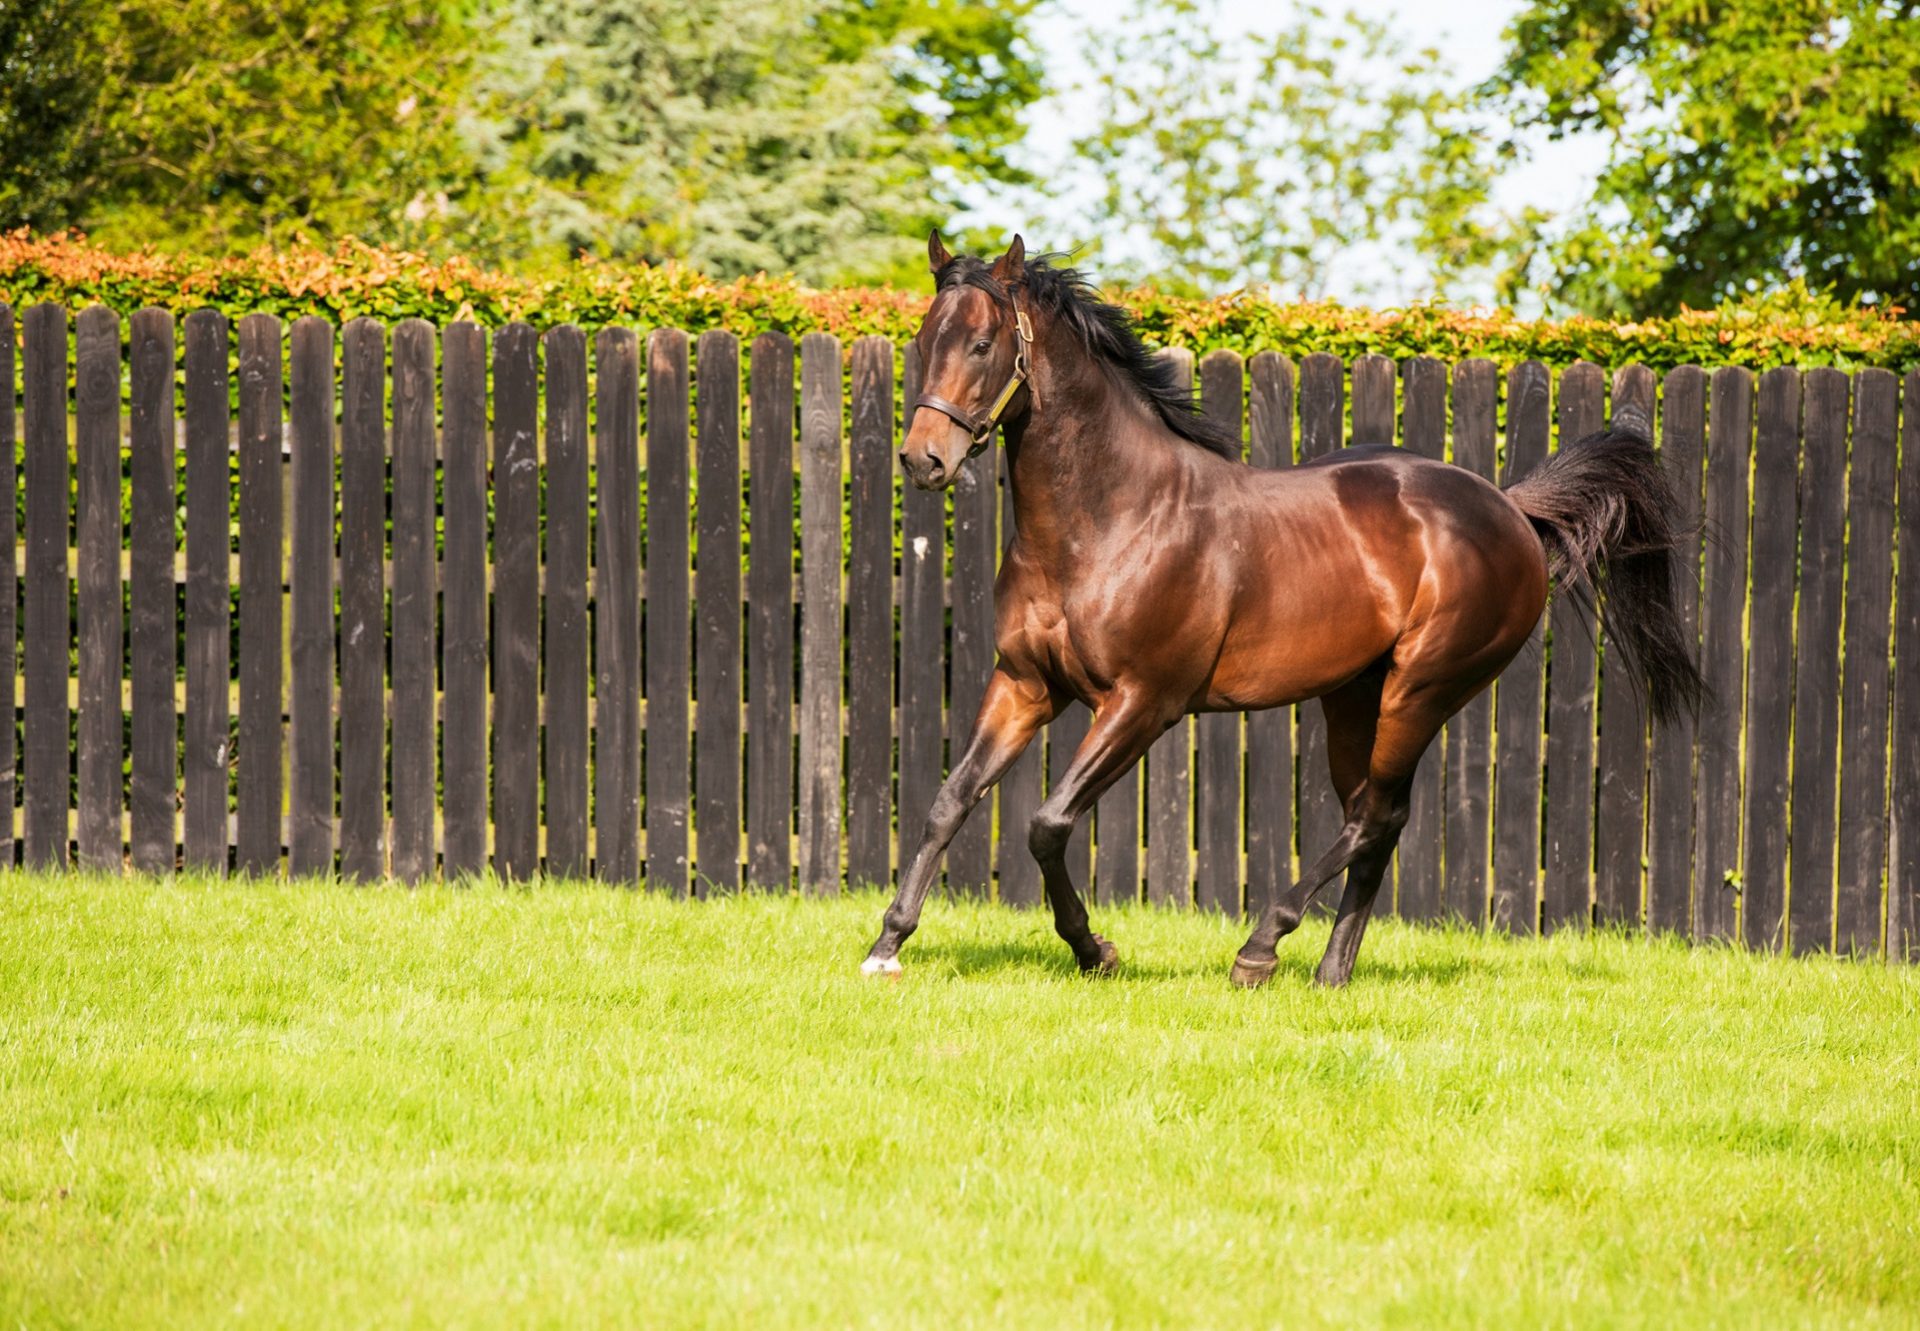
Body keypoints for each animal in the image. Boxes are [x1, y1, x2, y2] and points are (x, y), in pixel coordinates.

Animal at [864, 231, 1704, 983]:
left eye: (981, 343)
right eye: (924, 339)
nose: (923, 458)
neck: (1106, 521)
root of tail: (1510, 507)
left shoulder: (1142, 703)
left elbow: (1047, 823)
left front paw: (1094, 949)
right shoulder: (1025, 685)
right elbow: (948, 802)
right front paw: (886, 946)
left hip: (1423, 688)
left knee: (1371, 816)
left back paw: (1261, 947)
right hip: (1354, 696)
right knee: (1380, 817)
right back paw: (1330, 970)